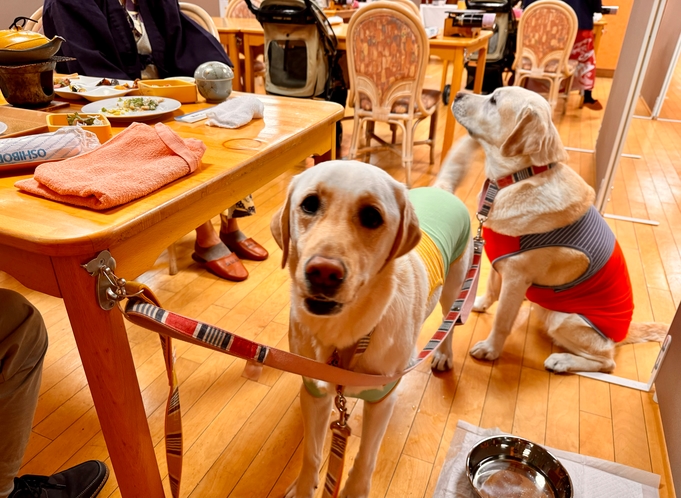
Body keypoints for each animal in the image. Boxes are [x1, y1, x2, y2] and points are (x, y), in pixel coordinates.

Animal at [270, 160, 472, 498]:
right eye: (309, 204)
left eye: (372, 216)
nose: (323, 273)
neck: (344, 334)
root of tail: (442, 189)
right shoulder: (314, 392)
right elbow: (312, 453)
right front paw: (304, 487)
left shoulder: (381, 399)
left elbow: (365, 459)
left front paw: (354, 490)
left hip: (455, 285)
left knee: (451, 322)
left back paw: (443, 354)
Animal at [446, 86, 664, 374]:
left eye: (493, 100)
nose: (458, 93)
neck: (522, 177)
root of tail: (624, 332)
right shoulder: (501, 261)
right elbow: (492, 287)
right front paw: (479, 303)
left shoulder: (516, 277)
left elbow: (502, 320)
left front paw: (490, 349)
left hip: (564, 319)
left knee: (608, 362)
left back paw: (562, 361)